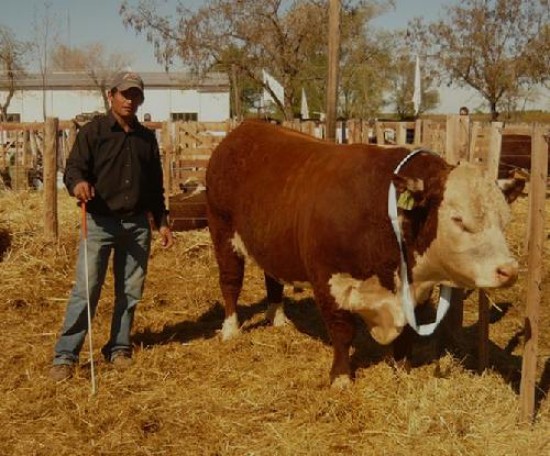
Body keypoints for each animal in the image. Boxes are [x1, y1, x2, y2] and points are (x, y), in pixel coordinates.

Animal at [206, 119, 528, 386]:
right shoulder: (328, 281)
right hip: (222, 232)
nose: (509, 270)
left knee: (272, 278)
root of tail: (246, 128)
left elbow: (406, 335)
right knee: (230, 283)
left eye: (505, 219)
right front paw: (341, 377)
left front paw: (402, 369)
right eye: (459, 219)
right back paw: (230, 329)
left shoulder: (415, 292)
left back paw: (277, 317)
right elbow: (342, 331)